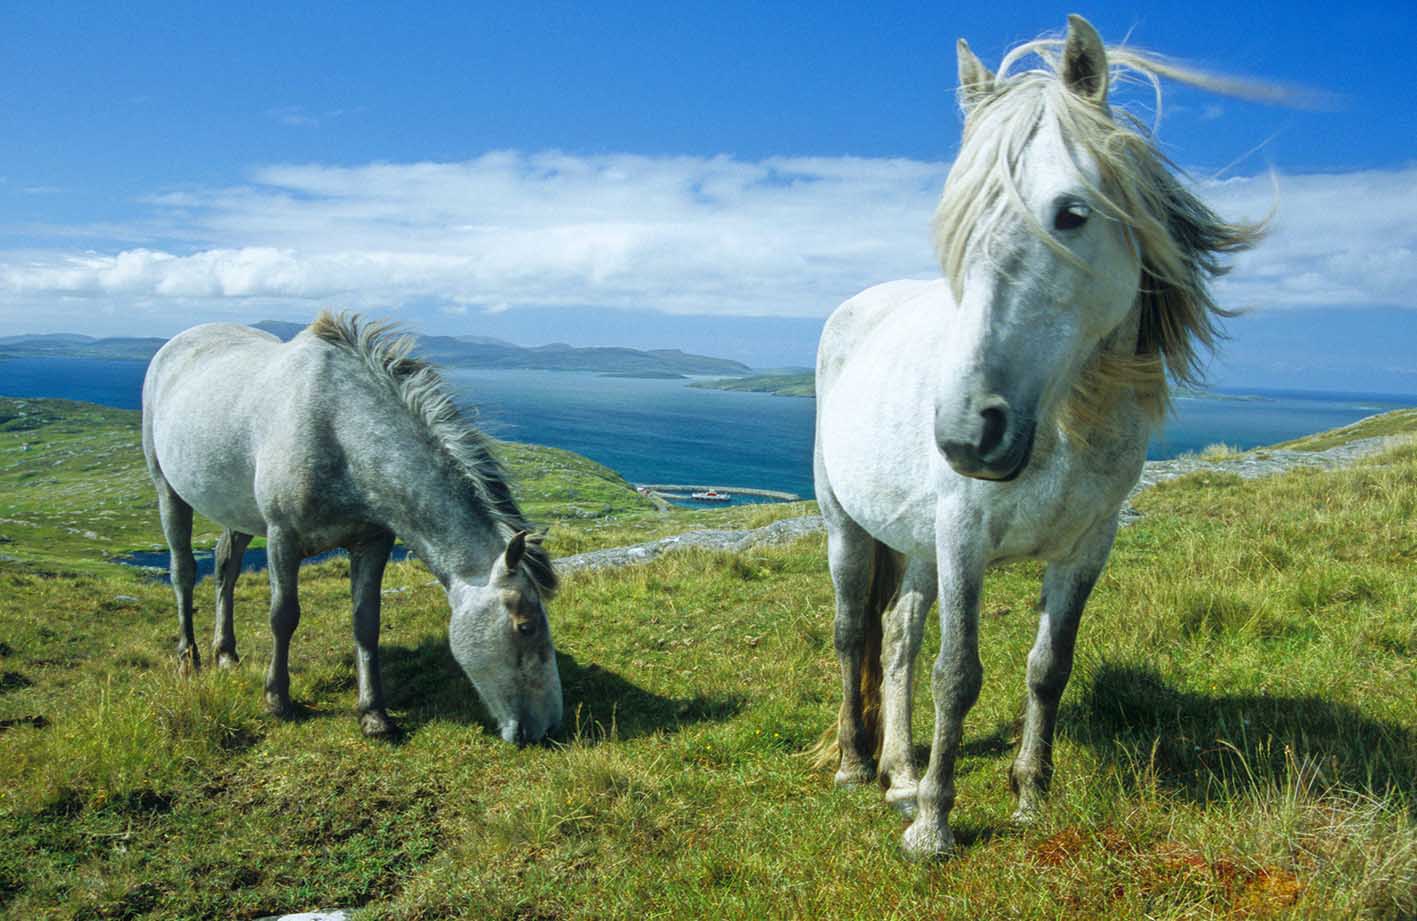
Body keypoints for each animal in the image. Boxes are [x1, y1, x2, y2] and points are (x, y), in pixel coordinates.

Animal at [140, 311, 561, 742]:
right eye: (525, 627)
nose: (547, 727)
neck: (339, 430)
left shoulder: (373, 541)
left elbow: (366, 621)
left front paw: (374, 714)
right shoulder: (282, 537)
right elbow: (283, 616)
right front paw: (278, 700)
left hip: (236, 511)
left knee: (226, 568)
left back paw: (225, 654)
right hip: (167, 490)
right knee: (184, 571)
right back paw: (188, 658)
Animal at [816, 14, 1269, 855]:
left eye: (1071, 213)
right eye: (958, 227)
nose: (968, 434)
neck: (1064, 425)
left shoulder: (1088, 544)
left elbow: (1046, 664)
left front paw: (1029, 795)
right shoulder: (963, 534)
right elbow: (957, 673)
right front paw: (935, 826)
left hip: (917, 542)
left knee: (895, 636)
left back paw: (900, 772)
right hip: (846, 529)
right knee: (851, 631)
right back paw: (861, 766)